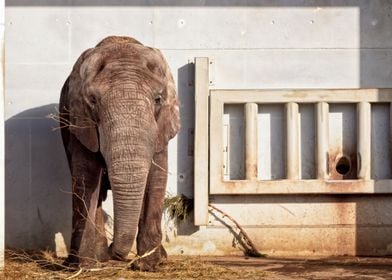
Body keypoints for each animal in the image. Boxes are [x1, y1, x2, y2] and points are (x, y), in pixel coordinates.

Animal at [59, 36, 181, 270]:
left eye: (158, 99)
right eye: (93, 100)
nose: (115, 252)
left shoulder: (161, 127)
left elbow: (156, 178)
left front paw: (149, 265)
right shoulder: (80, 122)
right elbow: (86, 177)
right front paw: (85, 266)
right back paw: (89, 260)